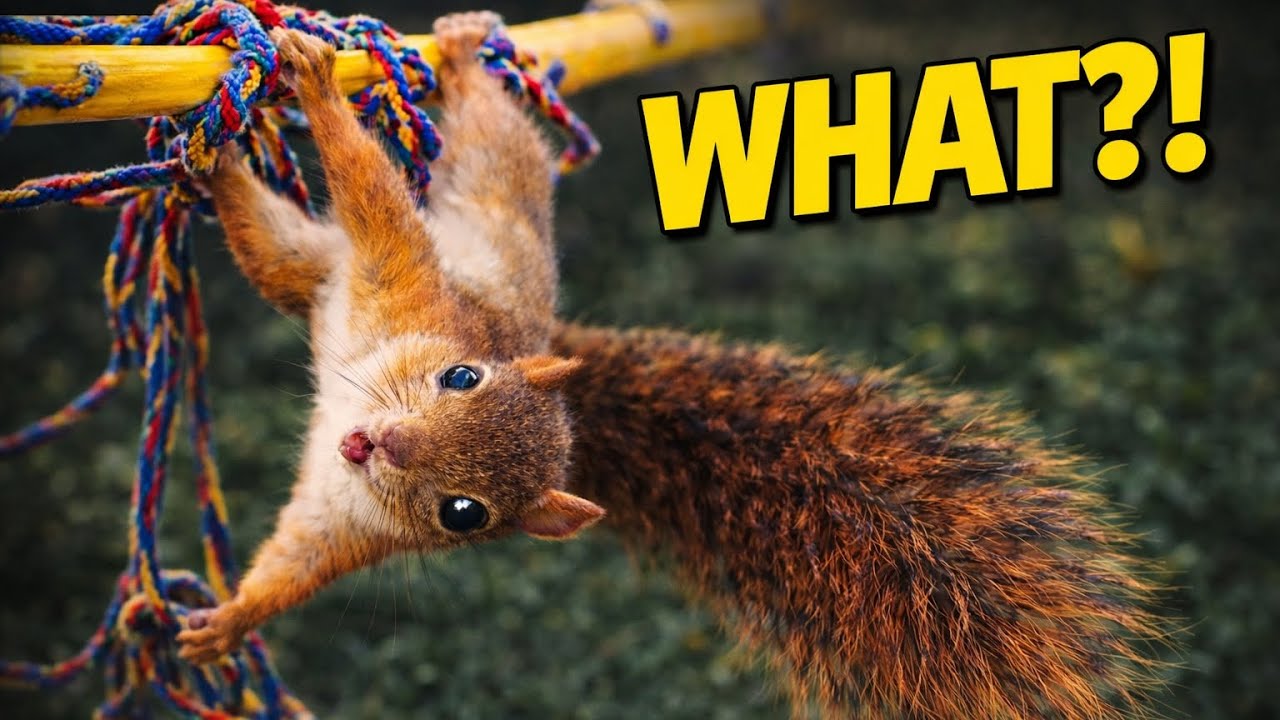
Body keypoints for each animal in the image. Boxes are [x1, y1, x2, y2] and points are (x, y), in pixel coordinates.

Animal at [177, 16, 605, 664]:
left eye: (464, 514)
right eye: (461, 376)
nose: (392, 444)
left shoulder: (348, 524)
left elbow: (296, 560)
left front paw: (231, 621)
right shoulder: (402, 274)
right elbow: (371, 188)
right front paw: (316, 81)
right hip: (490, 172)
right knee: (486, 120)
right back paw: (461, 50)